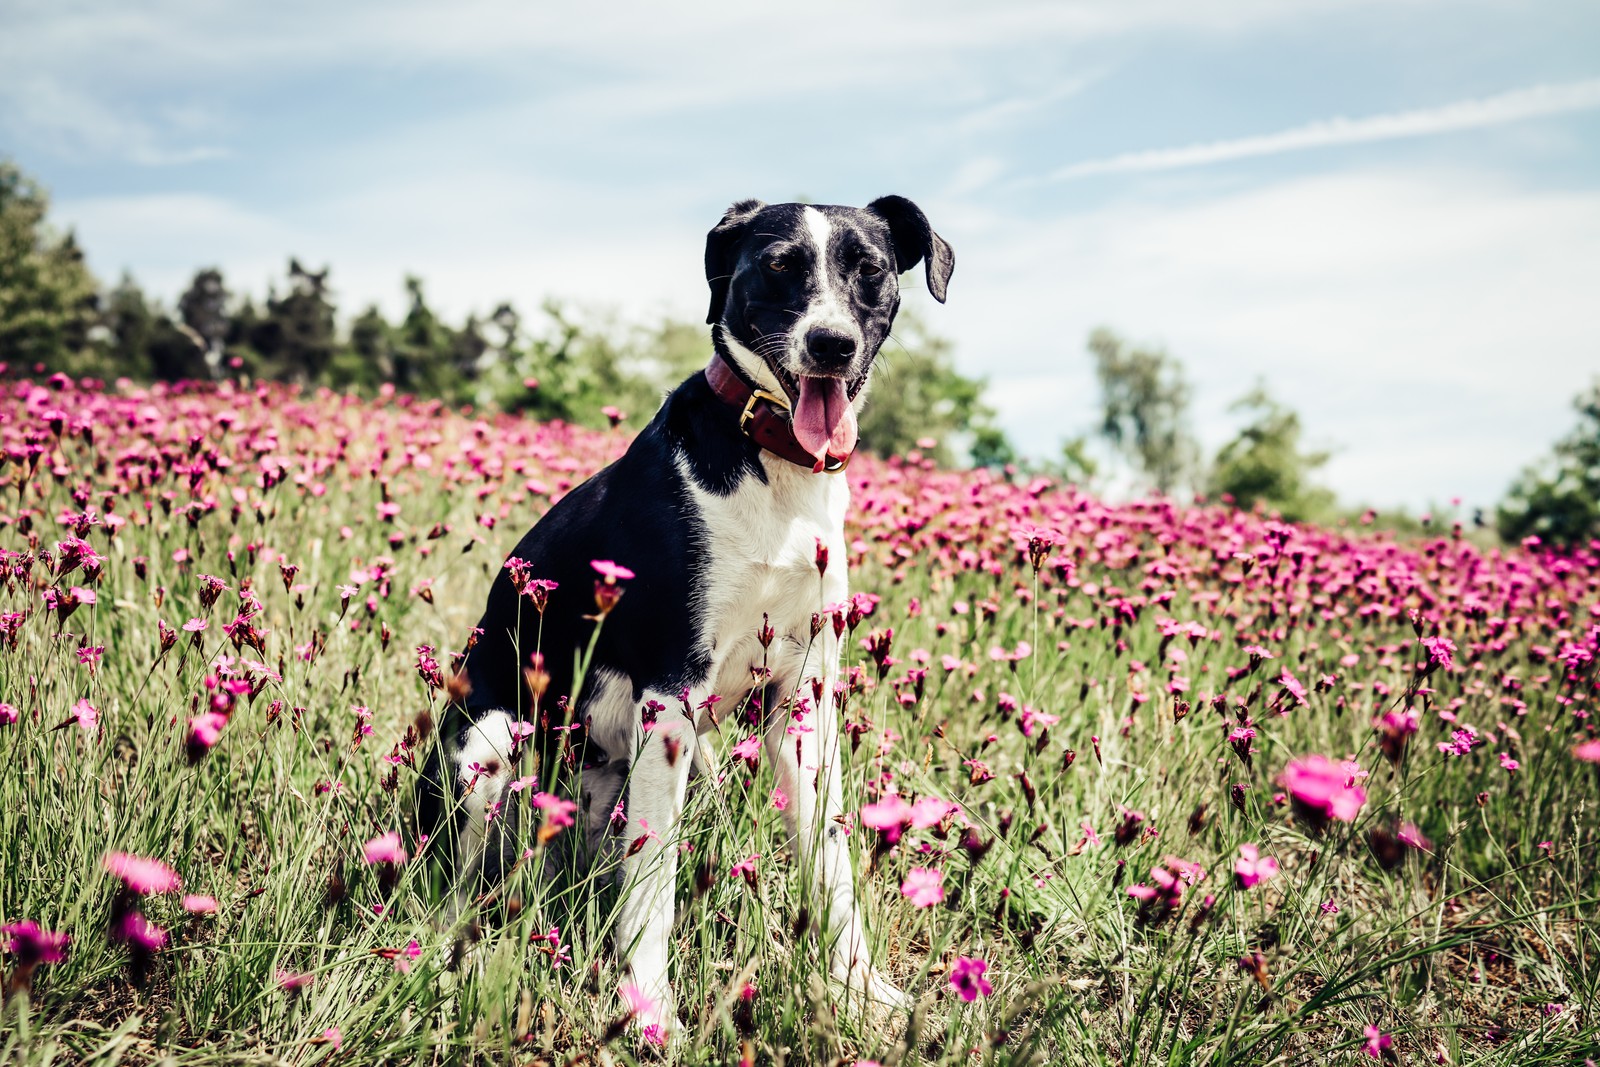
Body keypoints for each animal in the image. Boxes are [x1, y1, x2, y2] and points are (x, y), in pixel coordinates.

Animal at [419, 195, 953, 1030]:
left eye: (869, 271)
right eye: (779, 265)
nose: (831, 343)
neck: (774, 466)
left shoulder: (802, 700)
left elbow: (832, 862)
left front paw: (860, 990)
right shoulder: (670, 691)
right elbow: (655, 886)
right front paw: (648, 1010)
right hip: (489, 746)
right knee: (453, 884)